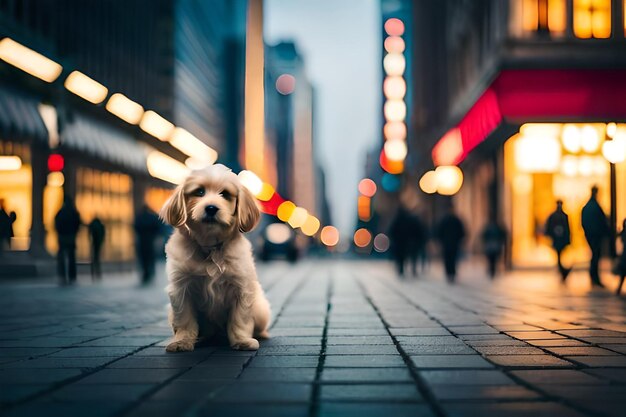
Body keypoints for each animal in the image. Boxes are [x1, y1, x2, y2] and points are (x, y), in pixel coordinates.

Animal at [160, 163, 270, 352]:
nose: (211, 208)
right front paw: (182, 341)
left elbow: (240, 319)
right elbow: (184, 319)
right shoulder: (180, 289)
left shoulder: (242, 288)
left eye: (225, 194)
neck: (210, 247)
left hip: (261, 309)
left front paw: (242, 340)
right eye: (199, 192)